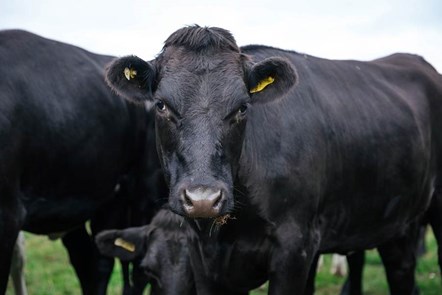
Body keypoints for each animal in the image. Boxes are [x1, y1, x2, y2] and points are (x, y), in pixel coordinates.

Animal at [104, 26, 442, 295]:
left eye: (242, 107)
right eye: (161, 105)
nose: (203, 199)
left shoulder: (295, 247)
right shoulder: (204, 256)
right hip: (397, 220)